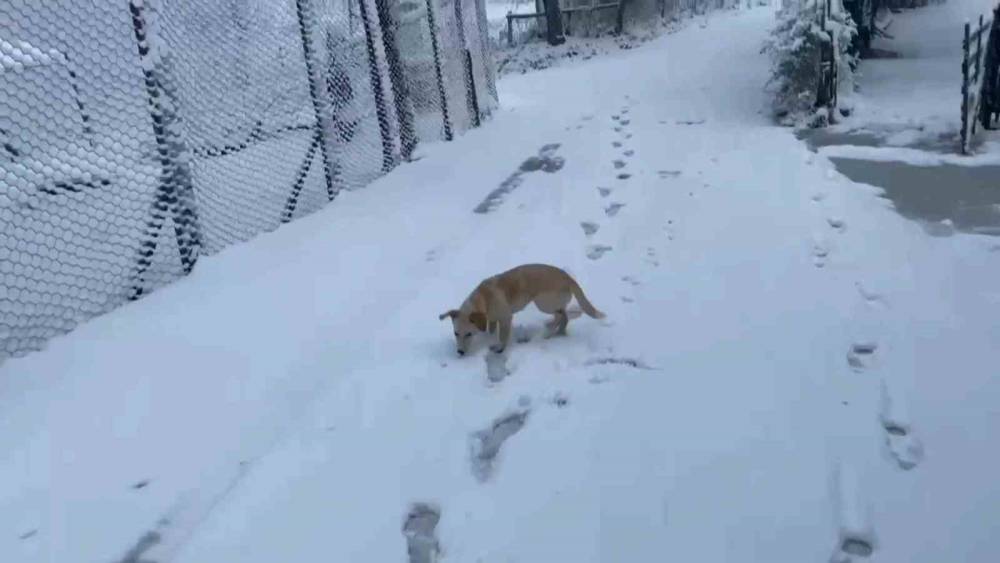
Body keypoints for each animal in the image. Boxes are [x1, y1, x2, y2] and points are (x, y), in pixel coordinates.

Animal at [442, 264, 604, 356]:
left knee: (561, 315)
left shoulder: (505, 318)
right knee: (564, 316)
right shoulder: (492, 319)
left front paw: (499, 348)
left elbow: (503, 337)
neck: (484, 298)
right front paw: (489, 337)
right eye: (456, 333)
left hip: (543, 303)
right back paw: (558, 331)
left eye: (469, 334)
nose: (460, 352)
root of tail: (569, 278)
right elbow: (492, 329)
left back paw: (550, 330)